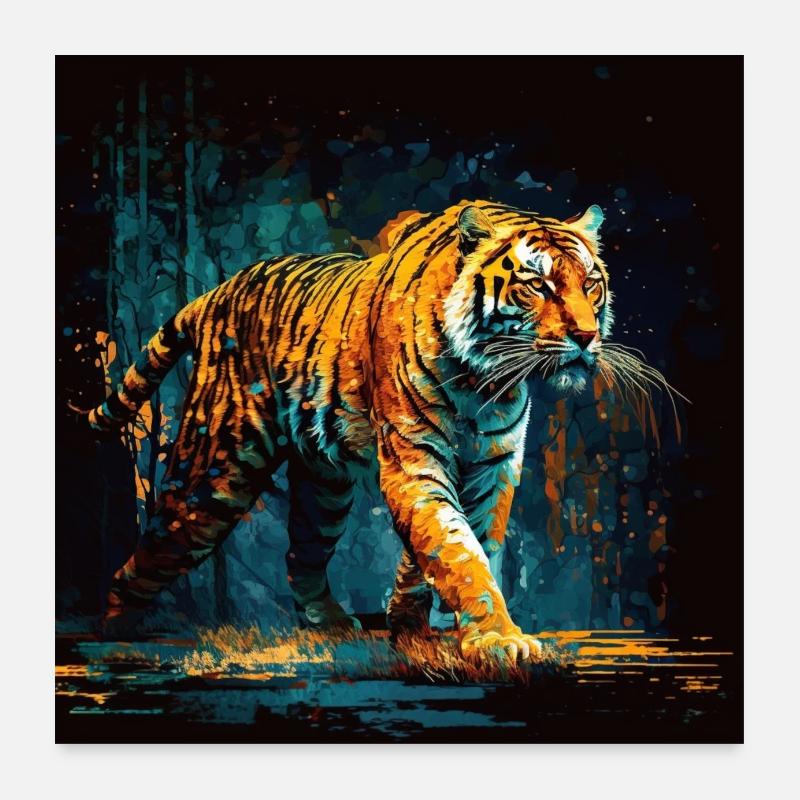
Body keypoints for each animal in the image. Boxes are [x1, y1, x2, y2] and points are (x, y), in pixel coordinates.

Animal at [84, 199, 617, 663]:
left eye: (591, 283)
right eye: (537, 286)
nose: (586, 336)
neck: (486, 381)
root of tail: (218, 291)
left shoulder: (493, 467)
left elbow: (466, 542)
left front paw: (411, 620)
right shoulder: (414, 459)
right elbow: (458, 550)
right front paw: (499, 639)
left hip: (323, 490)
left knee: (300, 553)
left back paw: (331, 622)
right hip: (213, 476)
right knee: (153, 546)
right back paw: (113, 627)